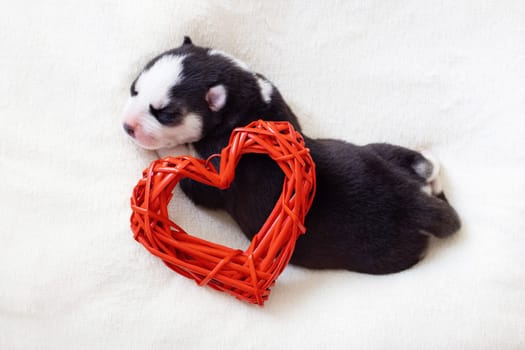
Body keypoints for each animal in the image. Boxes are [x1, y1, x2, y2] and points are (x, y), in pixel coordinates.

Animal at [123, 37, 458, 274]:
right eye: (134, 89)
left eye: (166, 113)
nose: (127, 126)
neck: (243, 100)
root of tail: (416, 204)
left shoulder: (216, 177)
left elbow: (195, 178)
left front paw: (169, 149)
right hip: (379, 151)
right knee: (424, 166)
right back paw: (425, 164)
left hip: (390, 254)